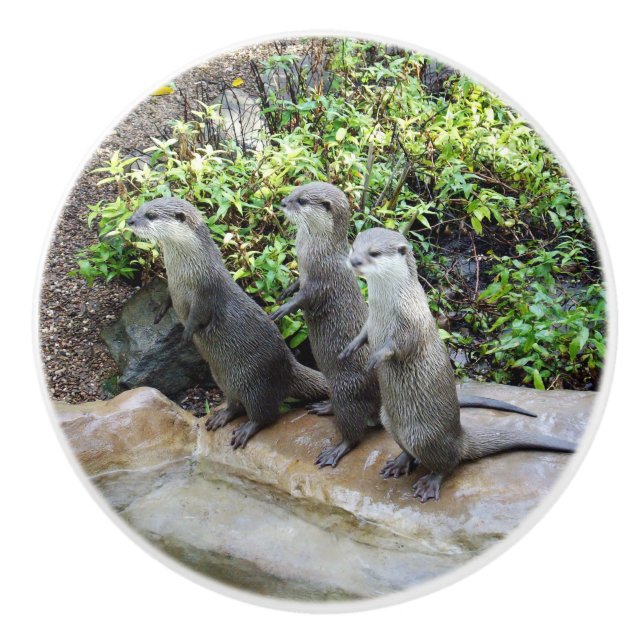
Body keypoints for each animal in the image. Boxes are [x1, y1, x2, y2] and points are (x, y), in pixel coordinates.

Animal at [127, 197, 328, 448]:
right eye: (140, 209)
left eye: (151, 215)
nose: (130, 221)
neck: (186, 274)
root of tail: (289, 365)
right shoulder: (173, 286)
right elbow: (168, 299)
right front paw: (159, 311)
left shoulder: (206, 292)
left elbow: (198, 316)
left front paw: (186, 336)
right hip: (224, 379)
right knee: (235, 403)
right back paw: (222, 417)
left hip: (256, 384)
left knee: (266, 415)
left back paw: (246, 430)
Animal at [272, 182, 536, 467]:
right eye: (294, 191)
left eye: (302, 200)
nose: (283, 203)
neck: (314, 251)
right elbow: (297, 287)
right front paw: (285, 292)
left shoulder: (323, 279)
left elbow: (306, 297)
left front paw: (283, 309)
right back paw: (324, 406)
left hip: (347, 391)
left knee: (354, 430)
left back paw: (338, 448)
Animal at [341, 227, 575, 502]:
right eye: (353, 247)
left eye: (374, 253)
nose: (354, 261)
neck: (386, 310)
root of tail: (459, 437)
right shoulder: (370, 322)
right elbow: (363, 335)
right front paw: (349, 349)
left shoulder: (411, 323)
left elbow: (398, 347)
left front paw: (375, 358)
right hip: (389, 421)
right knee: (410, 450)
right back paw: (399, 463)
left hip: (424, 437)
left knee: (448, 464)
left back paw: (429, 483)